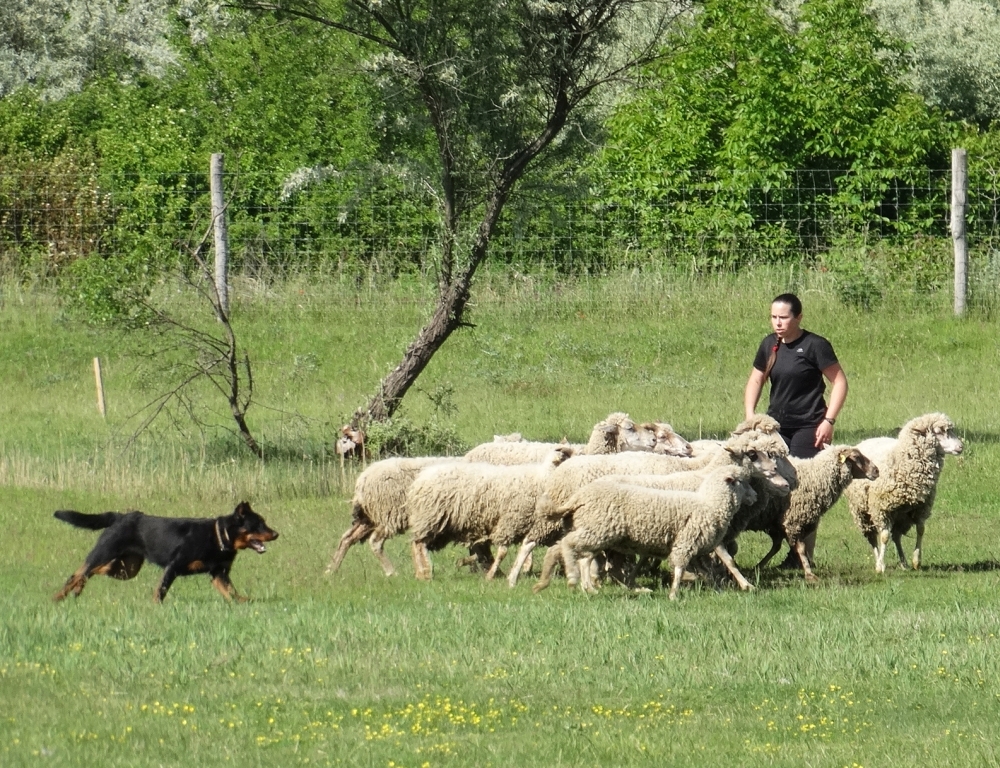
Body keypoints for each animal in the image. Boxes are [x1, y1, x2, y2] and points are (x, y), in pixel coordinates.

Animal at [56, 500, 280, 604]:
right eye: (258, 524)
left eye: (264, 523)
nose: (276, 534)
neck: (219, 537)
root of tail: (119, 517)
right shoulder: (173, 567)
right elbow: (160, 591)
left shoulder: (219, 574)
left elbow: (232, 594)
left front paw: (245, 603)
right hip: (104, 553)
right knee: (79, 572)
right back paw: (58, 598)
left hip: (126, 569)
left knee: (91, 573)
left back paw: (77, 591)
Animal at [324, 456, 458, 576]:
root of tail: (362, 480)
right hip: (388, 514)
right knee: (375, 541)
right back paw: (392, 572)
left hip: (370, 518)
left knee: (347, 538)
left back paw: (331, 570)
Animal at [408, 448, 580, 580]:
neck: (543, 479)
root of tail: (421, 478)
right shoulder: (511, 521)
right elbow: (503, 551)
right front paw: (491, 575)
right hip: (431, 517)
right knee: (418, 544)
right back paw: (424, 573)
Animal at [536, 462, 752, 600]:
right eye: (742, 481)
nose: (755, 496)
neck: (710, 503)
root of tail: (579, 496)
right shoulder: (686, 543)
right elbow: (681, 569)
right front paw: (674, 595)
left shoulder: (696, 548)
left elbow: (708, 572)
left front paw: (720, 591)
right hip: (597, 530)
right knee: (567, 545)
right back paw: (572, 578)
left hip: (597, 533)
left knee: (579, 556)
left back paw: (578, 586)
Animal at [840, 414, 964, 568]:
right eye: (939, 431)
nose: (961, 447)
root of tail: (868, 440)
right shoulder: (882, 508)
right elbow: (884, 537)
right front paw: (881, 566)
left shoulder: (920, 508)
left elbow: (921, 530)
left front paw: (916, 561)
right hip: (861, 512)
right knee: (873, 538)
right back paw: (878, 560)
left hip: (900, 515)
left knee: (897, 536)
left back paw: (904, 563)